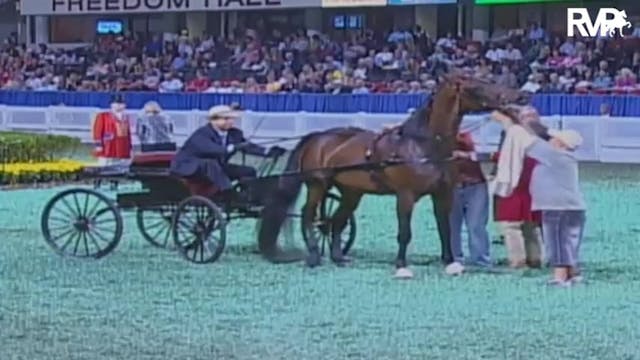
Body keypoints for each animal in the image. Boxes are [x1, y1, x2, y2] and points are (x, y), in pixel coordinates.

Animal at [258, 74, 528, 276]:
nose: (520, 95)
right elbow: (405, 232)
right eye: (476, 85)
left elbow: (444, 229)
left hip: (352, 192)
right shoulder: (405, 195)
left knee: (336, 220)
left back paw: (339, 258)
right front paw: (401, 266)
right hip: (318, 185)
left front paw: (450, 263)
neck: (422, 145)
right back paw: (314, 256)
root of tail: (318, 137)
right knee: (309, 215)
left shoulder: (442, 195)